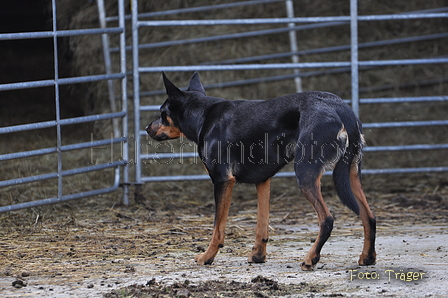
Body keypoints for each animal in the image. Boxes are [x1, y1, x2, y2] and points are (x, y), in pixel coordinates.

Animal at [146, 73, 374, 270]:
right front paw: (257, 256)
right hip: (352, 173)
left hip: (305, 172)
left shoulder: (222, 180)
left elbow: (218, 227)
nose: (147, 129)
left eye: (162, 113)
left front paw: (207, 257)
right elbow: (261, 224)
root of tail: (341, 109)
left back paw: (311, 258)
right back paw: (367, 257)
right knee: (368, 216)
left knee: (327, 219)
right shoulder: (263, 180)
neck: (203, 116)